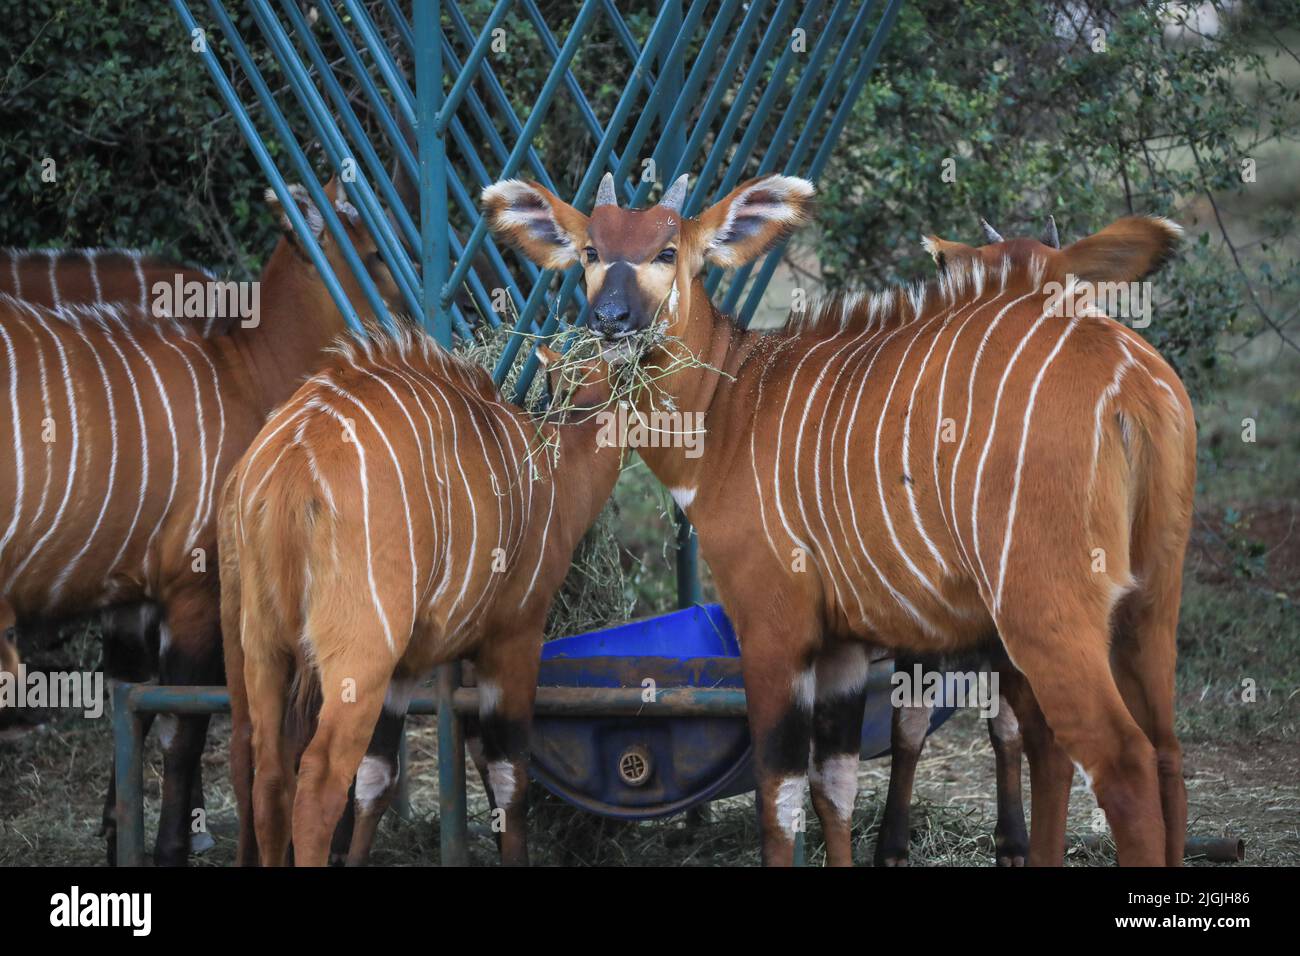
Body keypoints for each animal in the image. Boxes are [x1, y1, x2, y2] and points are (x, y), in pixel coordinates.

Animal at [0, 175, 400, 863]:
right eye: (374, 252)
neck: (243, 368)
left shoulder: (131, 597)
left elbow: (131, 708)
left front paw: (119, 838)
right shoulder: (195, 590)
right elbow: (183, 728)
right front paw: (172, 846)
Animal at [223, 332, 624, 868]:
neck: (551, 469)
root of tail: (290, 469)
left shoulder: (407, 670)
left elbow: (378, 778)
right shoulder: (514, 638)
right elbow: (510, 775)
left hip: (265, 649)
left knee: (268, 775)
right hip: (358, 658)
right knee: (317, 783)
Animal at [486, 171, 1196, 868]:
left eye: (667, 251)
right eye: (590, 251)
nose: (610, 320)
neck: (732, 402)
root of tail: (1130, 384)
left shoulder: (774, 626)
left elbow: (780, 798)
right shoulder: (846, 645)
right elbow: (836, 785)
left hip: (1044, 618)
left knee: (1120, 762)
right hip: (1150, 608)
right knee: (1164, 753)